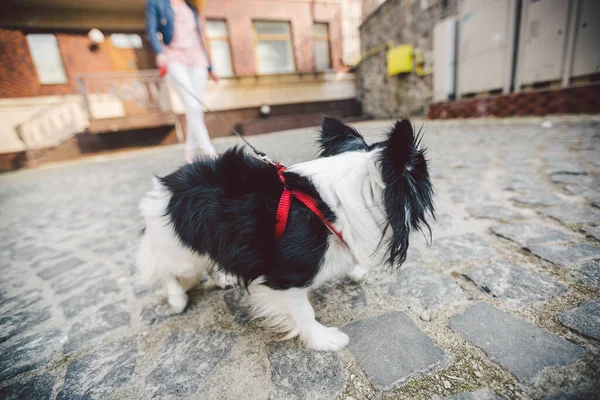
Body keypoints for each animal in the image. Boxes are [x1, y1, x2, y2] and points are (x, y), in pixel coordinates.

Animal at [138, 118, 434, 350]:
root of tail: (164, 187)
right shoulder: (284, 278)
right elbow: (304, 313)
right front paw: (323, 340)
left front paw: (355, 269)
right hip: (181, 256)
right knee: (165, 269)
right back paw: (177, 298)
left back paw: (221, 277)